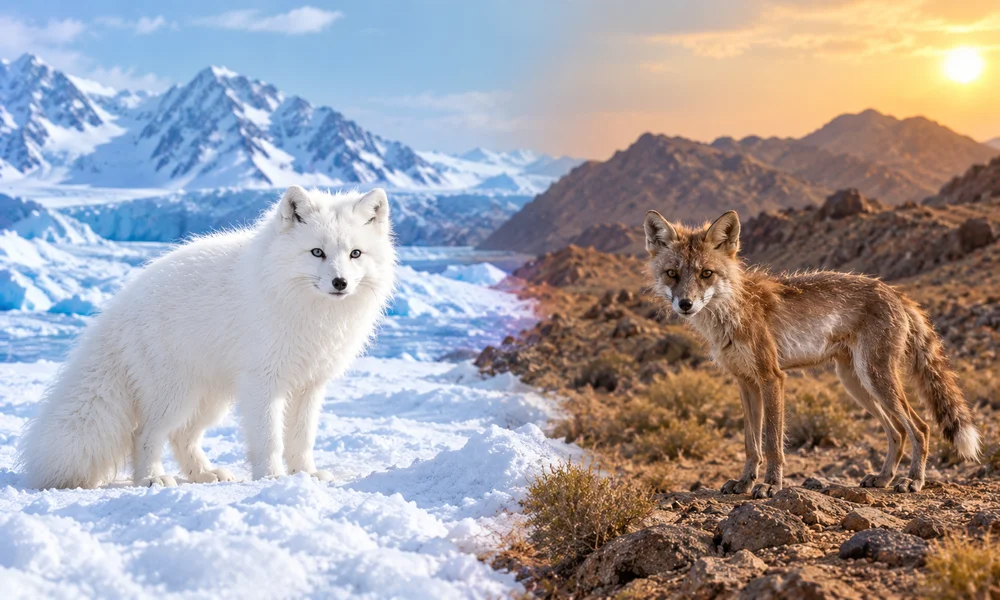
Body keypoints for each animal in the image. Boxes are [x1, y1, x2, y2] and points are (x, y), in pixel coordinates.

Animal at [19, 186, 397, 489]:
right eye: (317, 252)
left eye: (355, 254)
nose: (340, 283)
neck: (312, 314)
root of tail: (121, 306)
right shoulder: (263, 382)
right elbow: (270, 439)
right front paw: (272, 477)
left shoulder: (310, 385)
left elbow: (301, 440)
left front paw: (305, 473)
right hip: (177, 395)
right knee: (144, 434)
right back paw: (152, 478)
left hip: (209, 399)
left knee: (180, 437)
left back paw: (204, 473)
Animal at [643, 209, 980, 498]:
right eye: (672, 273)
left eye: (706, 273)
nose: (685, 304)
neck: (732, 312)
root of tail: (894, 291)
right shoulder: (745, 382)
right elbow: (751, 444)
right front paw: (744, 482)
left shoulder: (771, 377)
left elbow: (772, 443)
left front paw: (770, 486)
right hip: (856, 384)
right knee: (897, 432)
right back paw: (884, 478)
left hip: (876, 379)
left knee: (920, 428)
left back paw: (913, 481)